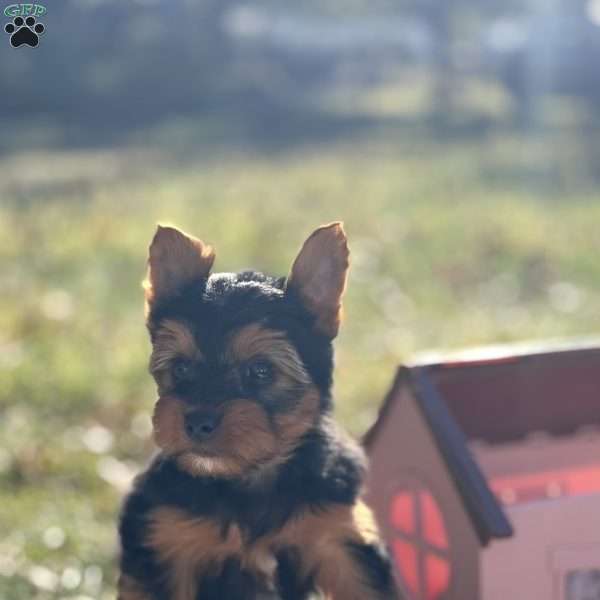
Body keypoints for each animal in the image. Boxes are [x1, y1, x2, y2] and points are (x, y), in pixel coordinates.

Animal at [117, 223, 398, 596]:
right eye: (181, 368)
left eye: (261, 371)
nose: (197, 423)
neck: (248, 477)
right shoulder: (164, 537)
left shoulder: (338, 532)